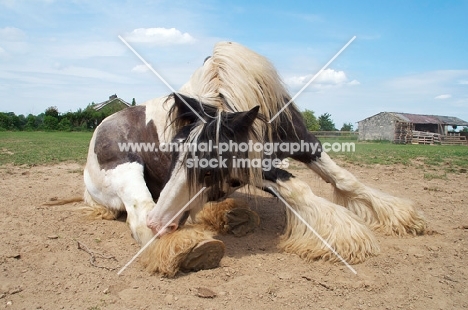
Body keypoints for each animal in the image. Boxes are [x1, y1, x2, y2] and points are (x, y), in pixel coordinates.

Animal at [83, 41, 424, 276]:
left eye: (210, 167)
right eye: (174, 153)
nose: (160, 223)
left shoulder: (304, 144)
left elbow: (345, 179)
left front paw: (403, 218)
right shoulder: (254, 169)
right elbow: (298, 188)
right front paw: (347, 237)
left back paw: (229, 216)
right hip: (126, 172)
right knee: (138, 214)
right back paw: (189, 247)